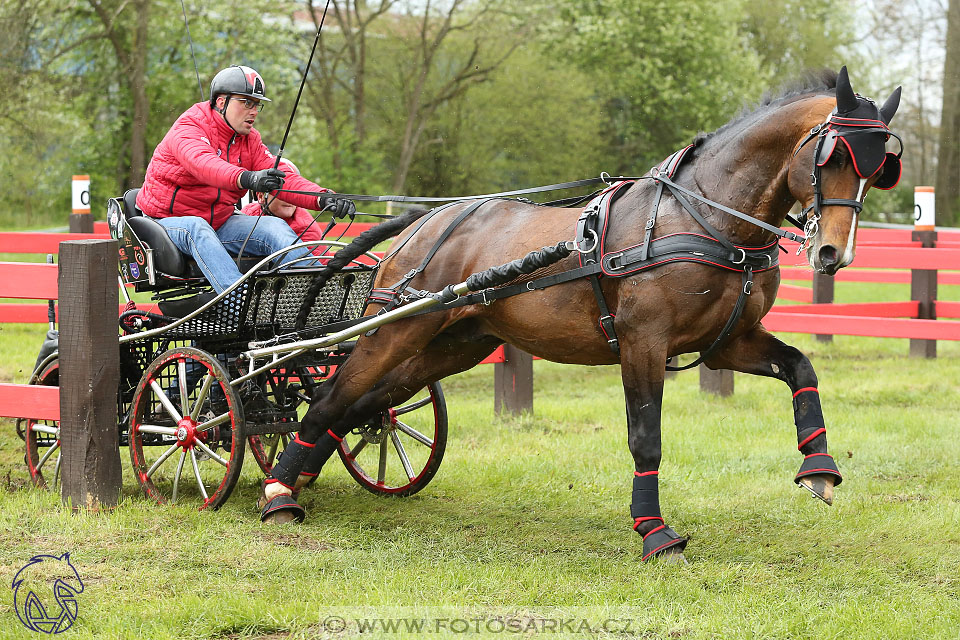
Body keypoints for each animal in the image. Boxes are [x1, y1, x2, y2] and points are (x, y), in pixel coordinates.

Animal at [256, 67, 900, 564]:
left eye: (878, 169)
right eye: (833, 157)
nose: (833, 254)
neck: (706, 218)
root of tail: (428, 221)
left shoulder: (727, 342)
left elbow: (801, 368)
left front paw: (819, 467)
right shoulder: (644, 343)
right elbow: (646, 439)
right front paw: (654, 533)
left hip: (451, 345)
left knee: (365, 405)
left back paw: (297, 476)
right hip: (395, 330)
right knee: (333, 395)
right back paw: (278, 492)